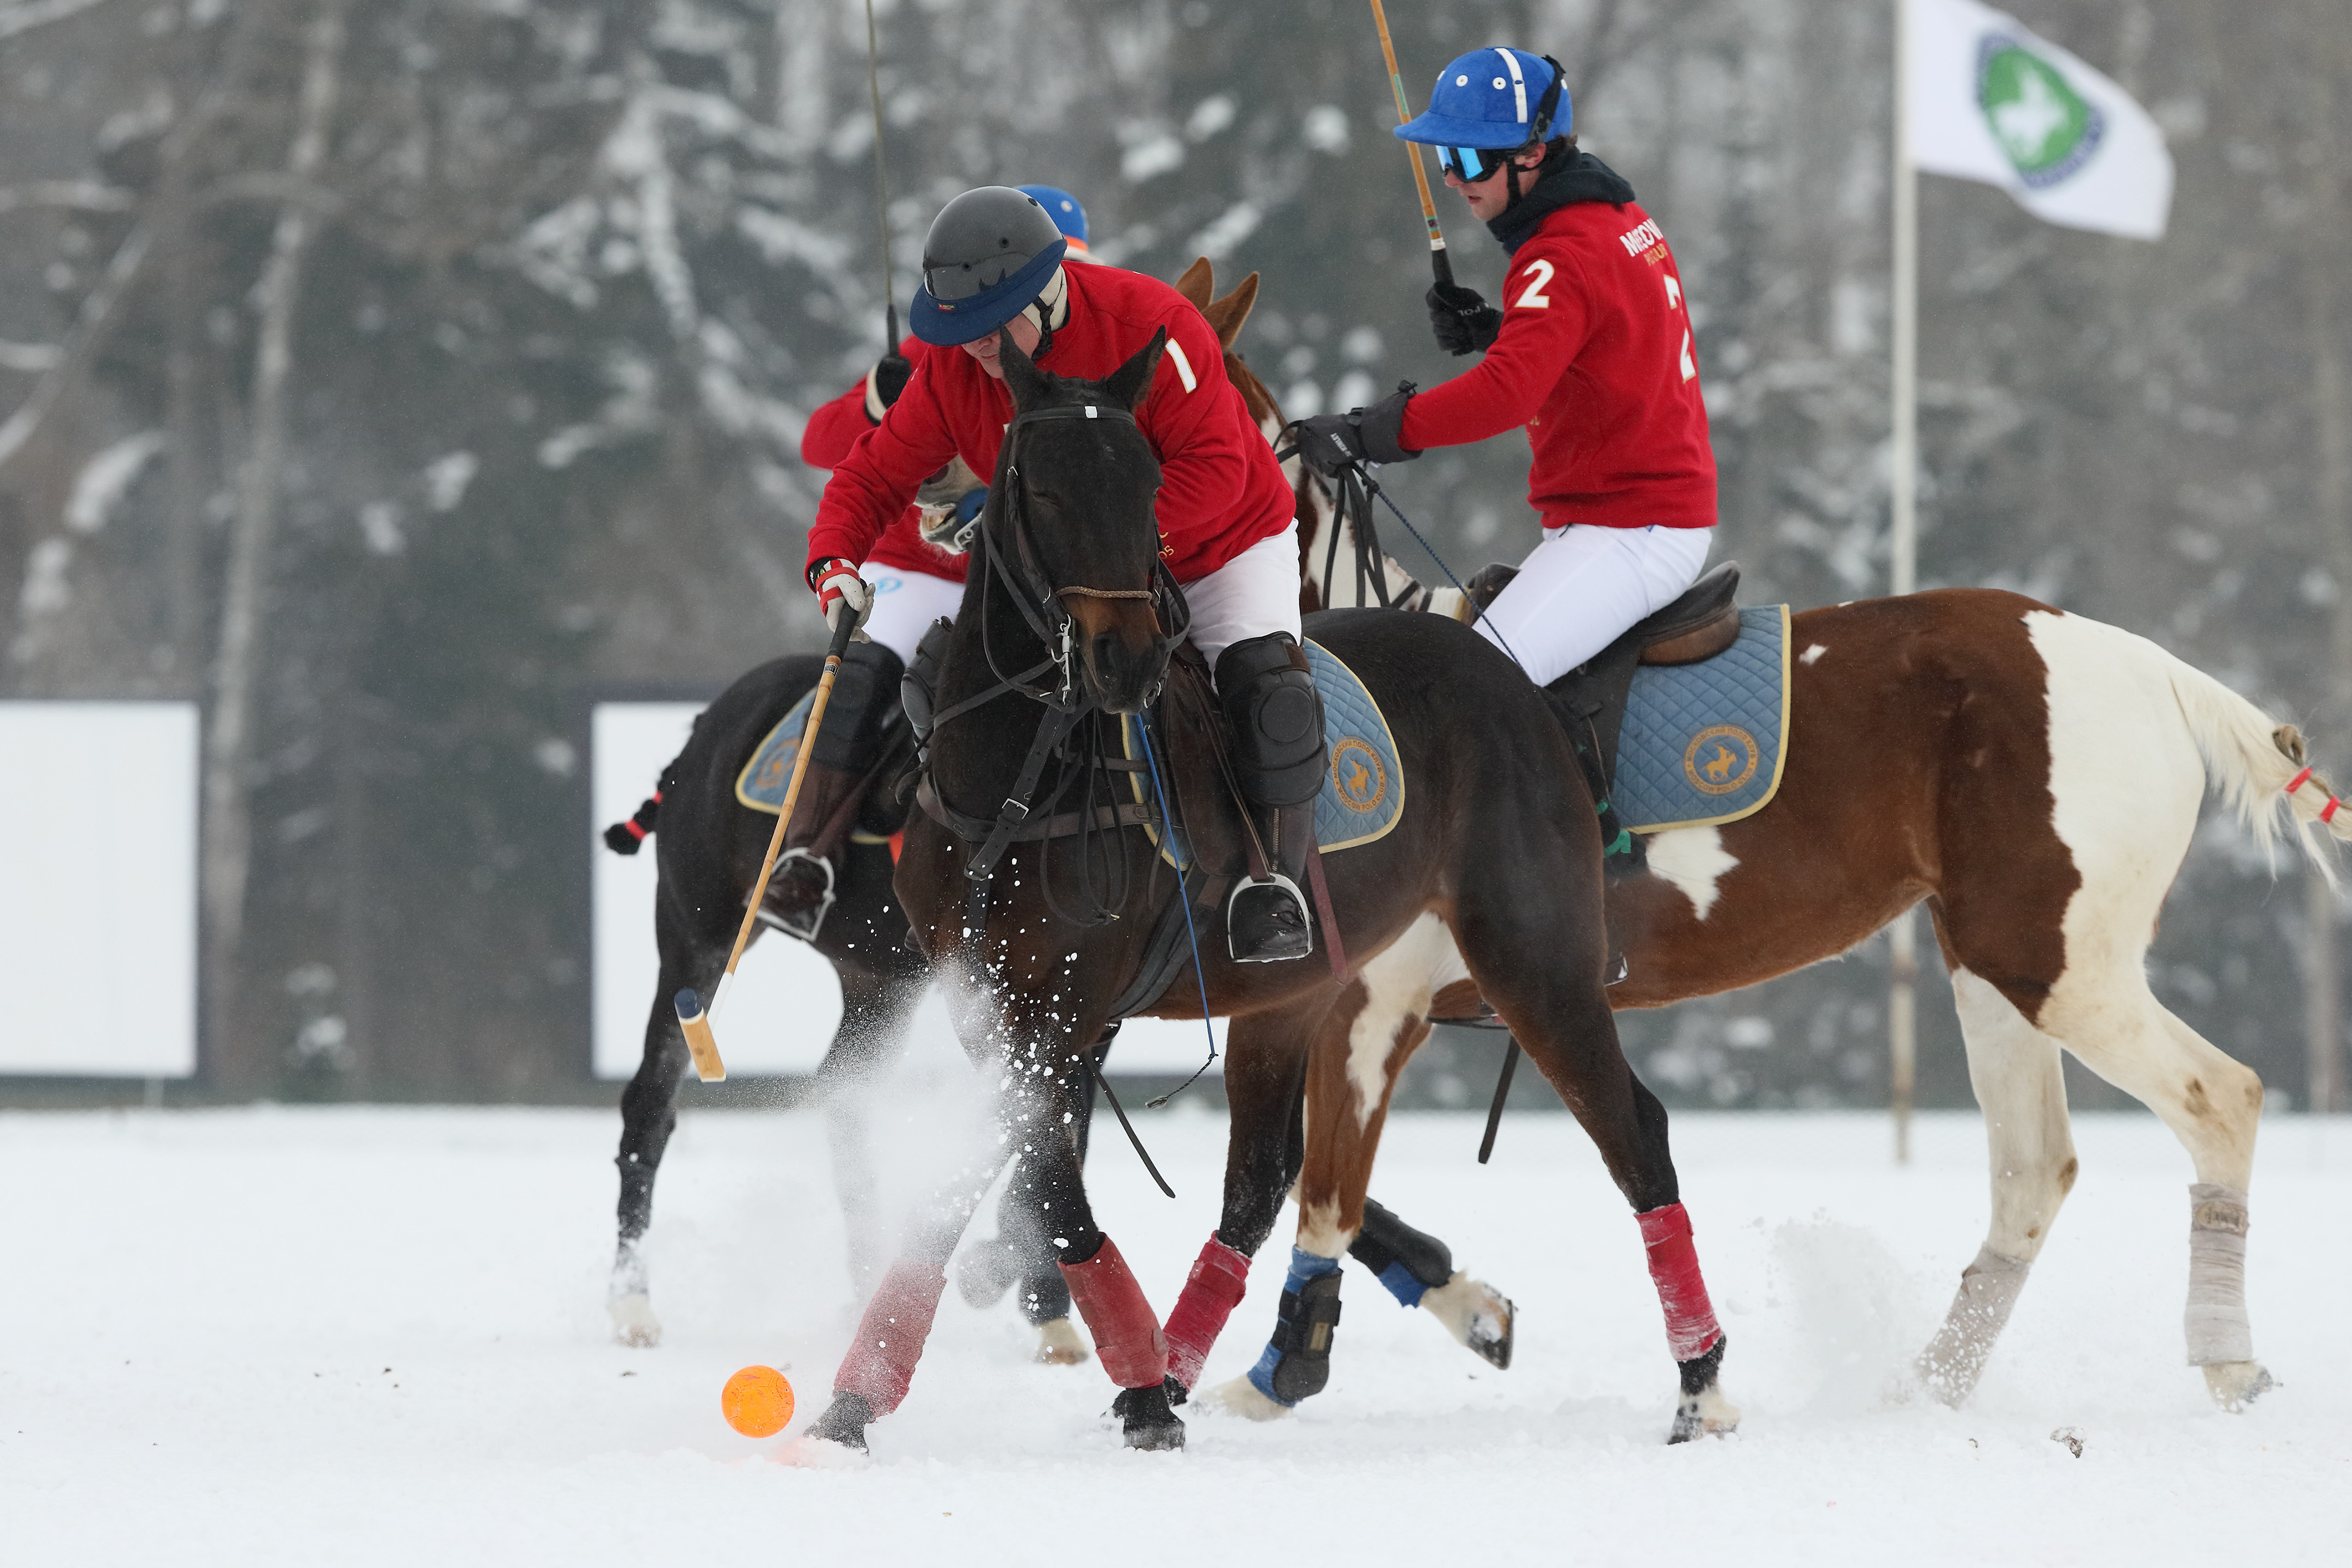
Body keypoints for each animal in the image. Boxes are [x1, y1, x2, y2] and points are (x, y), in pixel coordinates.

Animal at [800, 331, 1740, 1457]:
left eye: (1149, 482)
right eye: (1044, 485)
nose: (1124, 659)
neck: (1015, 782)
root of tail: (1513, 673)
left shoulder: (1067, 1007)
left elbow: (1032, 1176)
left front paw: (1132, 1390)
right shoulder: (992, 1001)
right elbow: (1011, 1175)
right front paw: (858, 1403)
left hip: (1534, 953)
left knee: (1633, 1130)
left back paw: (1700, 1386)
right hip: (1293, 991)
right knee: (1259, 1174)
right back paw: (1185, 1365)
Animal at [1232, 592, 2333, 1419]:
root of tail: (2159, 672)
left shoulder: (1371, 1001)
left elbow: (1315, 1182)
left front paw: (1292, 1368)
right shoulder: (1354, 1010)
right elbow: (1317, 1183)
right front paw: (1443, 1318)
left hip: (2058, 963)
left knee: (2220, 1096)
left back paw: (2228, 1361)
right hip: (1992, 966)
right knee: (2035, 1167)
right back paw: (1927, 1388)